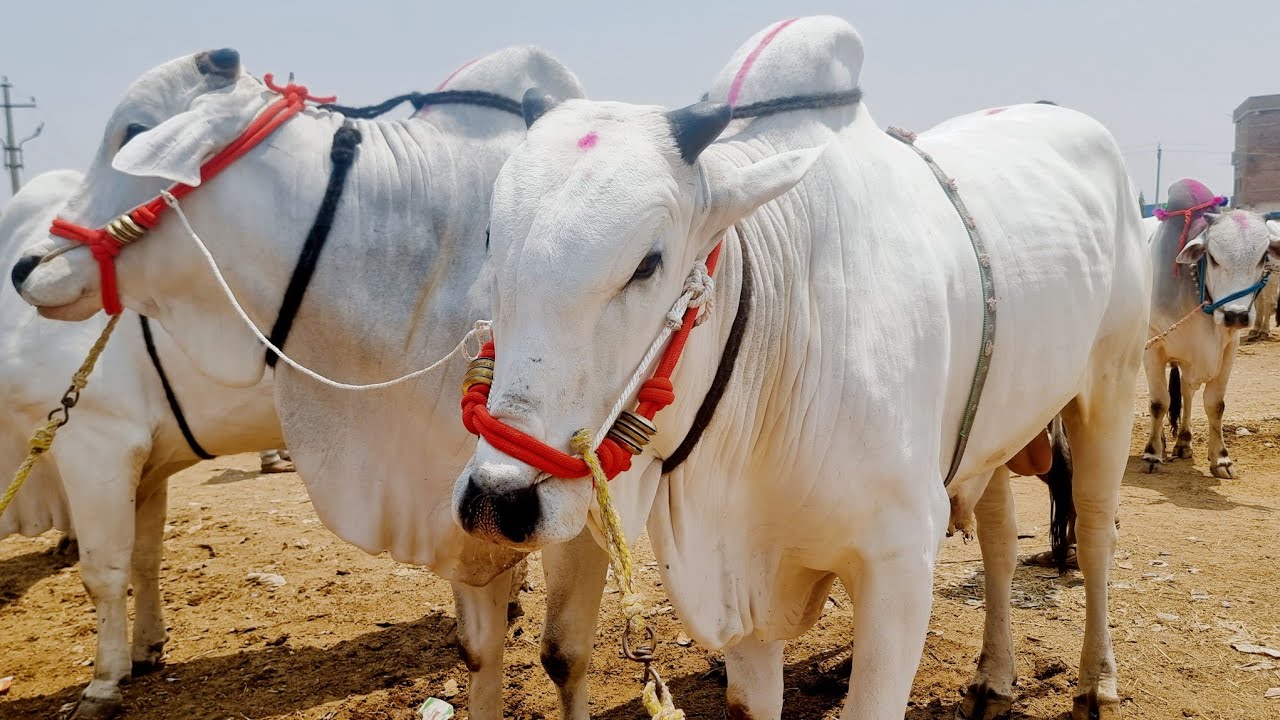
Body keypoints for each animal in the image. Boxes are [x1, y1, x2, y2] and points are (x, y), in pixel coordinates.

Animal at [9, 48, 576, 720]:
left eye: (131, 132)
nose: (27, 267)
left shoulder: (96, 440)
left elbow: (102, 571)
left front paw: (101, 687)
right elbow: (144, 558)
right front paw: (145, 650)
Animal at [450, 15, 1148, 720]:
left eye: (648, 262)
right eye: (491, 241)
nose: (497, 500)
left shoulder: (900, 560)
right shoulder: (747, 602)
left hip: (1112, 384)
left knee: (1095, 532)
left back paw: (1096, 681)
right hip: (997, 434)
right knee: (1002, 542)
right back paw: (994, 677)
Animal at [1142, 180, 1279, 479]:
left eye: (1264, 257)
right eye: (1213, 258)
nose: (1236, 315)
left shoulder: (1228, 349)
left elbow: (1215, 404)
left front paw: (1221, 459)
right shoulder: (1153, 346)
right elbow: (1158, 402)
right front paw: (1152, 453)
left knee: (1187, 393)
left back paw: (1183, 442)